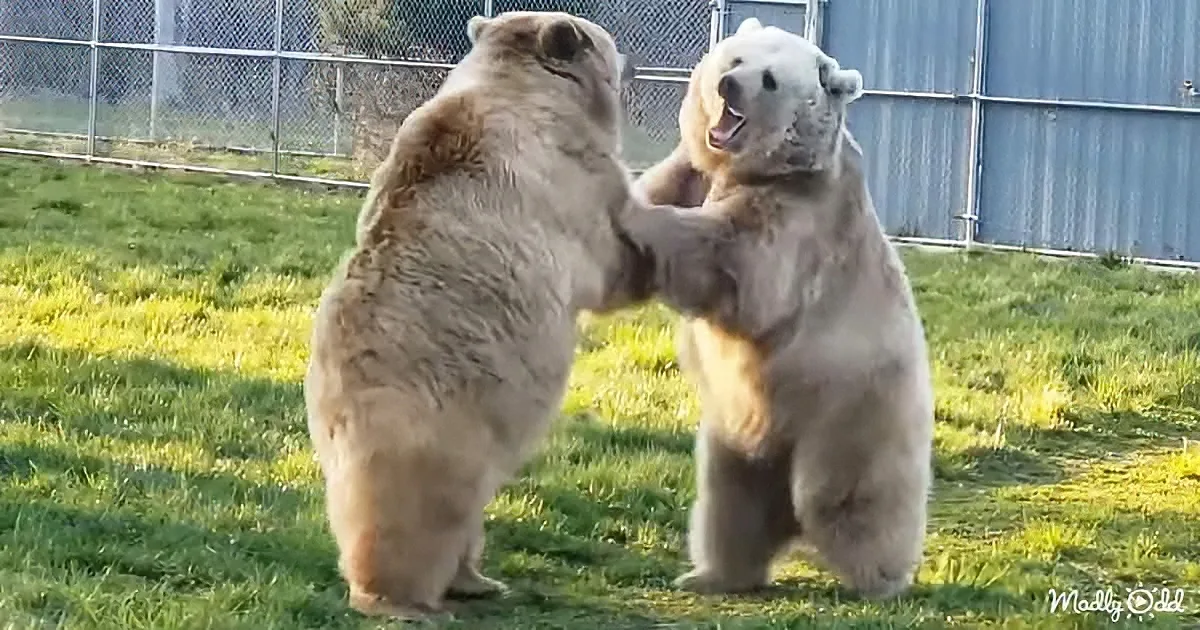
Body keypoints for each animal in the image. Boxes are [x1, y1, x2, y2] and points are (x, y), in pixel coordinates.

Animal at [303, 11, 665, 621]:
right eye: (608, 44)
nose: (635, 61)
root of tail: (332, 414)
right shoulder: (569, 178)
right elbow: (614, 256)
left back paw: (478, 580)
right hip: (436, 436)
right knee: (415, 520)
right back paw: (406, 600)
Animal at [623, 17, 935, 600]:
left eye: (769, 79)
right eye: (734, 59)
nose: (728, 86)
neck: (756, 170)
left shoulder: (800, 218)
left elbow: (735, 265)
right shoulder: (691, 171)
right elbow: (657, 187)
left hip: (852, 408)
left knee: (854, 499)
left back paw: (880, 579)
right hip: (737, 430)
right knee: (730, 503)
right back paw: (713, 573)